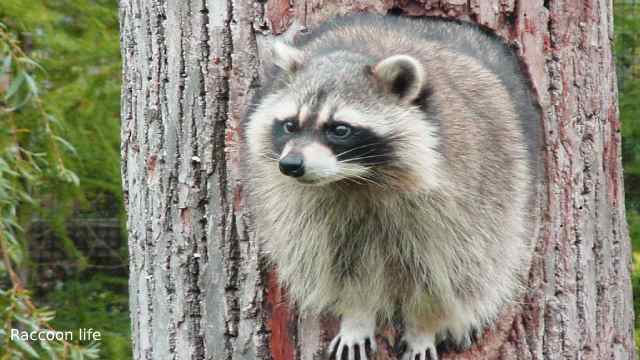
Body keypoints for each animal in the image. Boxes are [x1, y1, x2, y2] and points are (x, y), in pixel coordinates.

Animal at [244, 13, 540, 360]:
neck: (356, 178)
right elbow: (341, 266)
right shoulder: (308, 211)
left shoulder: (463, 198)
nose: (291, 165)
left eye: (339, 130)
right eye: (290, 125)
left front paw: (425, 326)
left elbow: (447, 276)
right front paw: (356, 315)